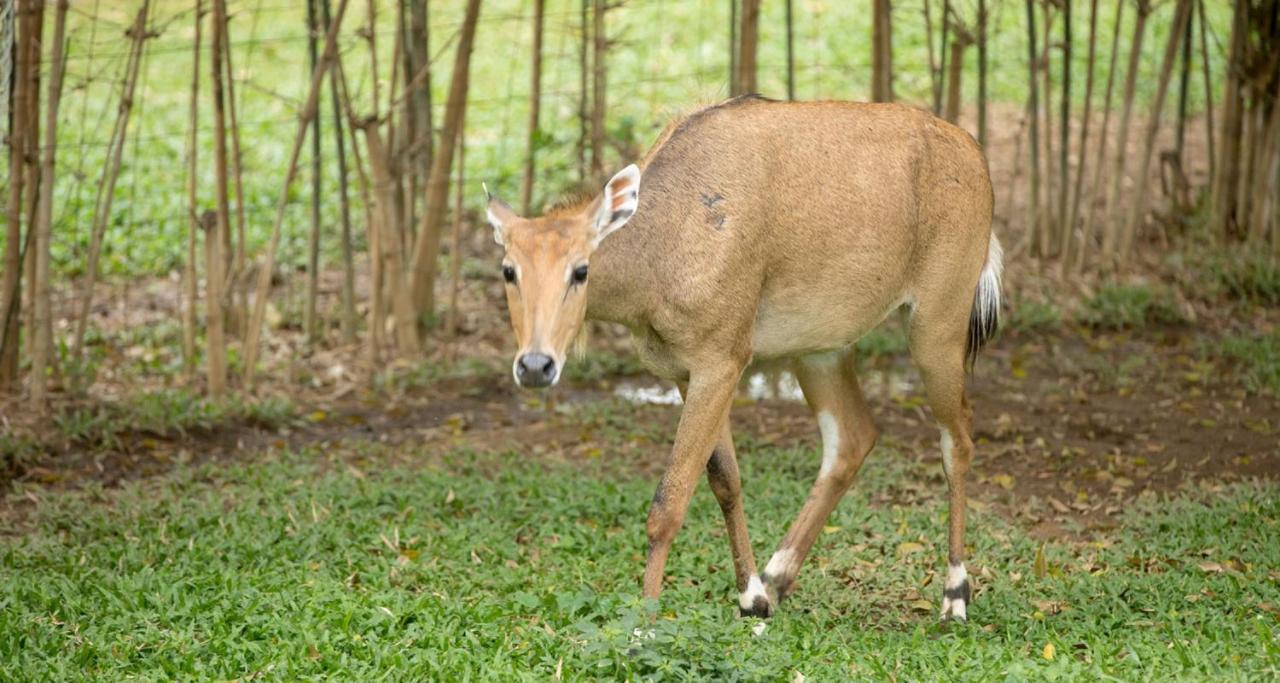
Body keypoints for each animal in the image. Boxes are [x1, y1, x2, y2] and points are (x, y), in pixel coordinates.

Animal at [486, 96, 998, 626]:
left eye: (581, 270)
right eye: (508, 270)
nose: (536, 366)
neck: (662, 250)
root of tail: (973, 153)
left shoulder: (720, 360)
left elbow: (669, 501)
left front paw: (644, 623)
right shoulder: (690, 371)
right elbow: (725, 479)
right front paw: (752, 595)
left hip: (937, 322)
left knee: (958, 438)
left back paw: (955, 593)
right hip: (821, 348)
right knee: (852, 438)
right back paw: (778, 576)